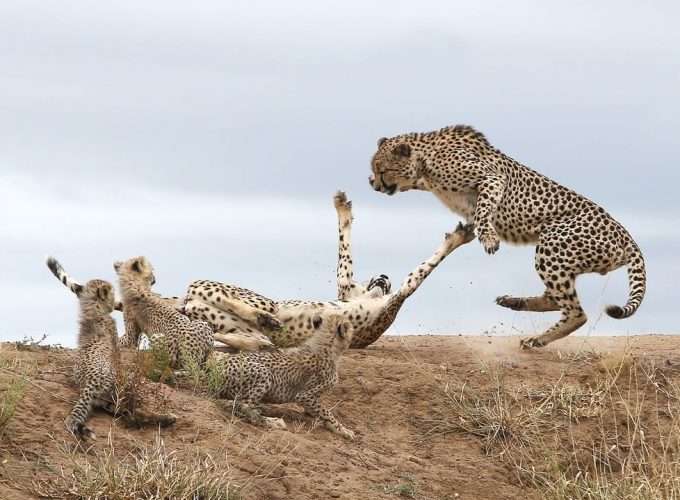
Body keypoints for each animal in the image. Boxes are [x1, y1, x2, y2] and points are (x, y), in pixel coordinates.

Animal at [46, 258, 175, 438]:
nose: (116, 302)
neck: (93, 312)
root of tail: (87, 384)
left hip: (109, 401)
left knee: (130, 415)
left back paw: (164, 419)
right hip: (121, 389)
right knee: (134, 412)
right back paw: (166, 417)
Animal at [183, 189, 476, 350]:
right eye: (380, 279)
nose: (383, 277)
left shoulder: (385, 297)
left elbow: (419, 272)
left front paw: (459, 237)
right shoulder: (357, 291)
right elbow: (347, 259)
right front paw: (342, 208)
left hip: (224, 313)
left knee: (250, 336)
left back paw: (265, 326)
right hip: (227, 300)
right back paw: (267, 320)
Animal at [210, 314, 354, 440]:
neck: (325, 346)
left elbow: (319, 411)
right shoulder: (305, 396)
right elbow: (327, 412)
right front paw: (343, 430)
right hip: (264, 373)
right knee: (241, 407)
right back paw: (274, 422)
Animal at [370, 126, 644, 348]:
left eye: (384, 169)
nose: (374, 183)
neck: (426, 163)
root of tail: (626, 236)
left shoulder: (491, 178)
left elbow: (482, 209)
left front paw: (488, 238)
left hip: (552, 245)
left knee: (576, 313)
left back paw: (537, 339)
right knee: (556, 300)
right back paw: (515, 302)